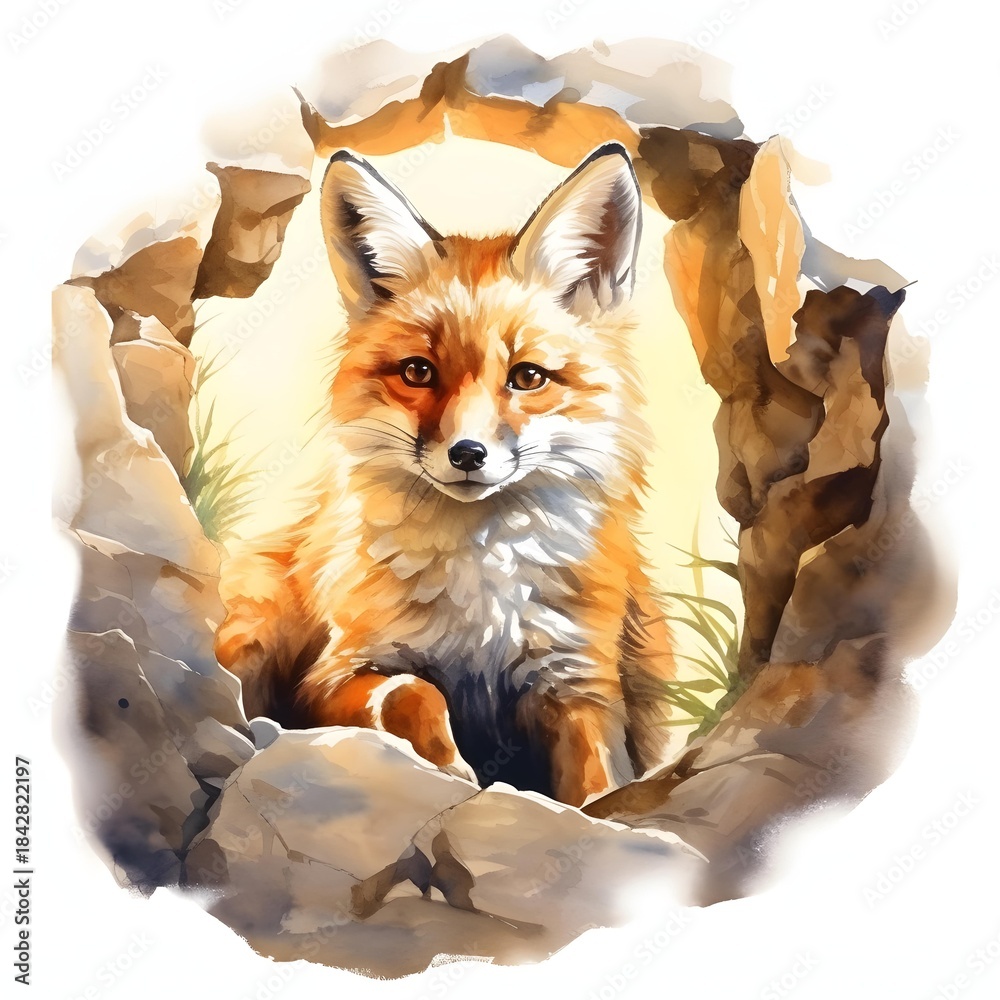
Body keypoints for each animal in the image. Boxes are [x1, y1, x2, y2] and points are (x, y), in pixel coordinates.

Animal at [214, 142, 677, 806]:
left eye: (528, 377)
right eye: (418, 371)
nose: (467, 454)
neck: (480, 582)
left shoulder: (578, 680)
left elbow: (597, 782)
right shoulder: (335, 673)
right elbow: (414, 690)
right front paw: (450, 766)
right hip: (258, 626)